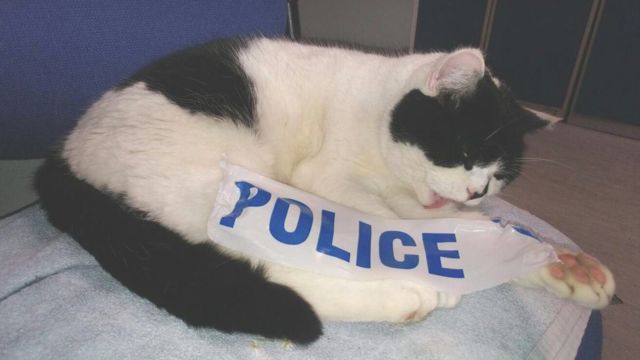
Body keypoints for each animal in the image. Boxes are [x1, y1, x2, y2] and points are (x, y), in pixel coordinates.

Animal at [35, 36, 616, 344]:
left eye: (498, 176)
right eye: (464, 153)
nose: (474, 193)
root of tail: (61, 158)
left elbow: (470, 231)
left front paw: (563, 266)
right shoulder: (328, 179)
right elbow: (392, 226)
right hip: (221, 181)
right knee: (255, 262)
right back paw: (402, 295)